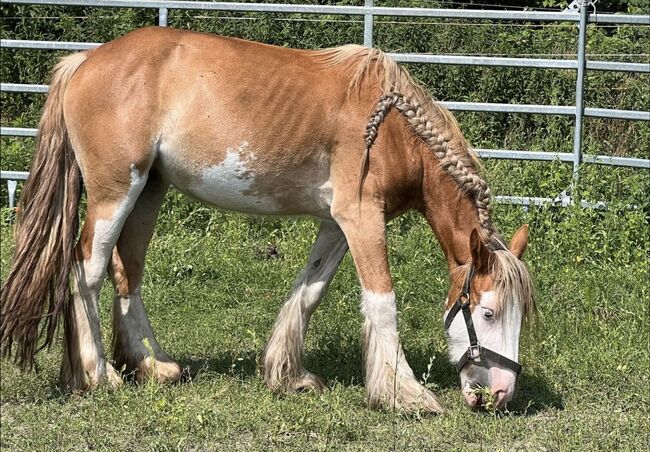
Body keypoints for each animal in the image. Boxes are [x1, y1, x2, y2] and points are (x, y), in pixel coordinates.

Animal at [1, 24, 532, 414]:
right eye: (487, 312)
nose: (502, 393)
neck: (393, 128)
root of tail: (83, 62)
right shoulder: (362, 218)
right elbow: (382, 302)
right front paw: (405, 395)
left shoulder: (336, 224)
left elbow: (309, 291)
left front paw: (288, 375)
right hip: (115, 192)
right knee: (86, 271)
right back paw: (97, 375)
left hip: (148, 192)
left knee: (126, 271)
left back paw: (154, 367)